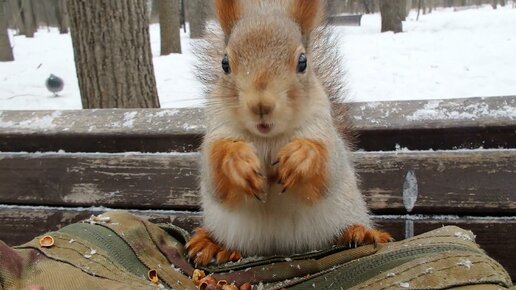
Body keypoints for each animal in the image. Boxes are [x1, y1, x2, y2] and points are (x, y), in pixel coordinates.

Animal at [185, 0, 392, 266]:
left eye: (302, 62)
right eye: (225, 64)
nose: (261, 105)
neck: (267, 138)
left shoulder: (324, 132)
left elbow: (326, 170)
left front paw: (301, 158)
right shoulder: (216, 131)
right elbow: (215, 175)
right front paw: (238, 161)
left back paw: (360, 232)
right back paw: (212, 244)